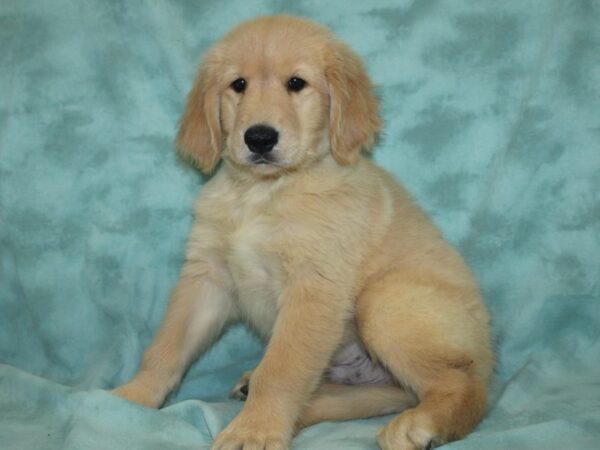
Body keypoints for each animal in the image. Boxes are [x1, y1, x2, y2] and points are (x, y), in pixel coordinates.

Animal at [111, 14, 492, 450]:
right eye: (238, 84)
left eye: (296, 83)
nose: (259, 138)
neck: (262, 193)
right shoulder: (207, 277)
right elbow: (165, 348)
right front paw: (131, 398)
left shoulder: (313, 287)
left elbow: (281, 370)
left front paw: (255, 430)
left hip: (384, 303)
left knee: (462, 385)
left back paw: (421, 423)